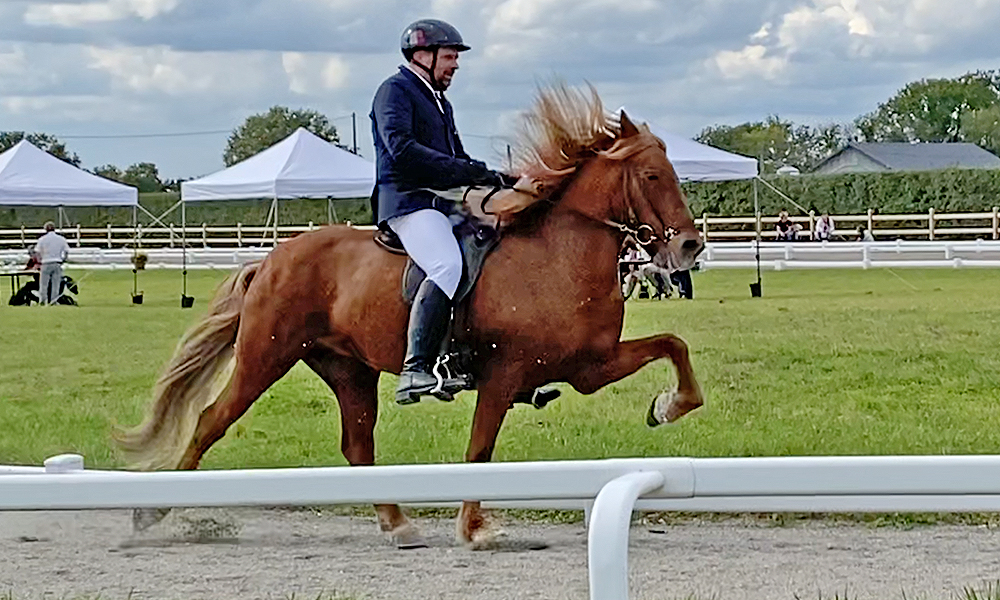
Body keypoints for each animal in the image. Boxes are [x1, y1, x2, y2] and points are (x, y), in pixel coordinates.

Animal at [117, 84, 708, 548]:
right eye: (652, 175)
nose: (689, 247)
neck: (557, 257)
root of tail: (271, 260)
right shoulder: (504, 376)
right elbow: (479, 450)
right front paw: (474, 529)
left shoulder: (591, 366)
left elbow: (674, 344)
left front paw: (667, 407)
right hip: (266, 357)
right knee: (211, 420)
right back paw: (152, 512)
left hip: (347, 369)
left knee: (358, 445)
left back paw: (397, 523)